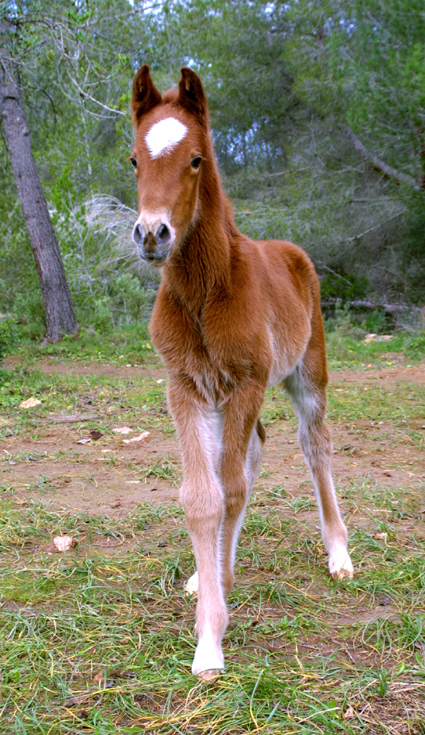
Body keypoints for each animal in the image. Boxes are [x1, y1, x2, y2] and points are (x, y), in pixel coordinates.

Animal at [128, 66, 352, 680]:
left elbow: (228, 490)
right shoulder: (185, 386)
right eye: (133, 159)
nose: (151, 234)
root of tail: (290, 251)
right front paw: (210, 615)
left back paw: (339, 554)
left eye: (196, 159)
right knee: (254, 454)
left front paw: (213, 631)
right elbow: (204, 497)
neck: (207, 292)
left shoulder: (247, 381)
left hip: (307, 373)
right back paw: (214, 571)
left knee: (313, 444)